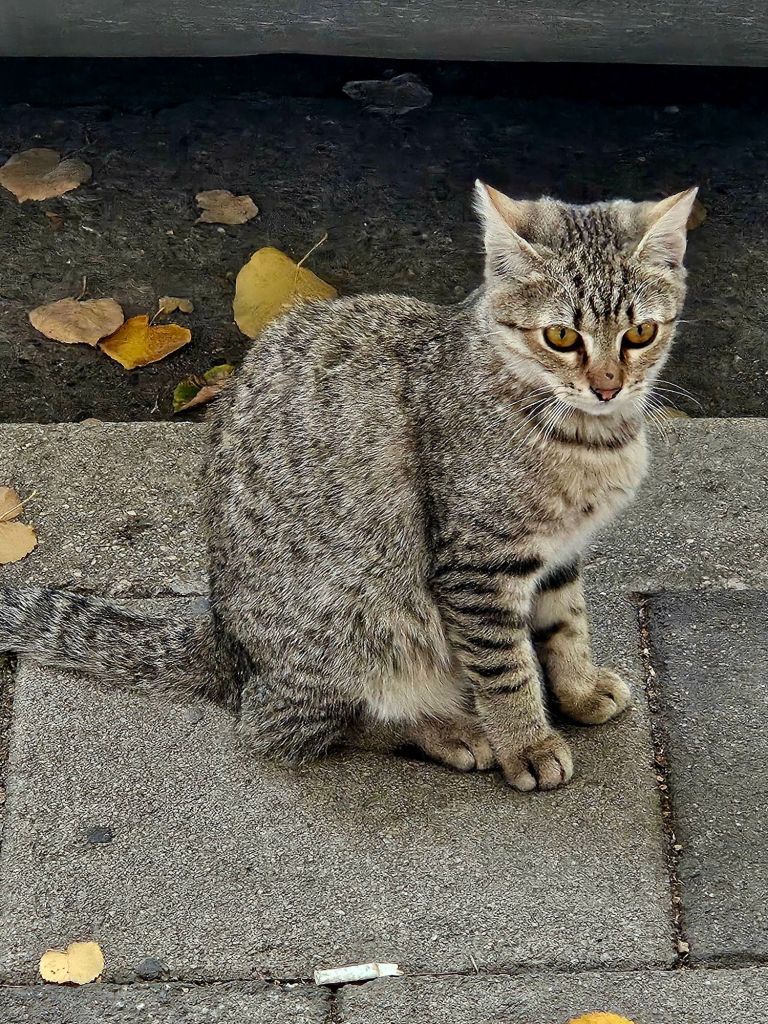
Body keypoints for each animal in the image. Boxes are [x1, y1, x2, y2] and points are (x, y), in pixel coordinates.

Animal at [0, 181, 697, 791]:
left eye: (640, 332)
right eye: (561, 336)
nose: (608, 385)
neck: (589, 436)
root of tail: (226, 644)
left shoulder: (559, 550)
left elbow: (565, 624)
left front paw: (577, 690)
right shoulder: (478, 565)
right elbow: (505, 667)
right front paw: (526, 743)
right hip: (357, 628)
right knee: (295, 726)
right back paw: (447, 729)